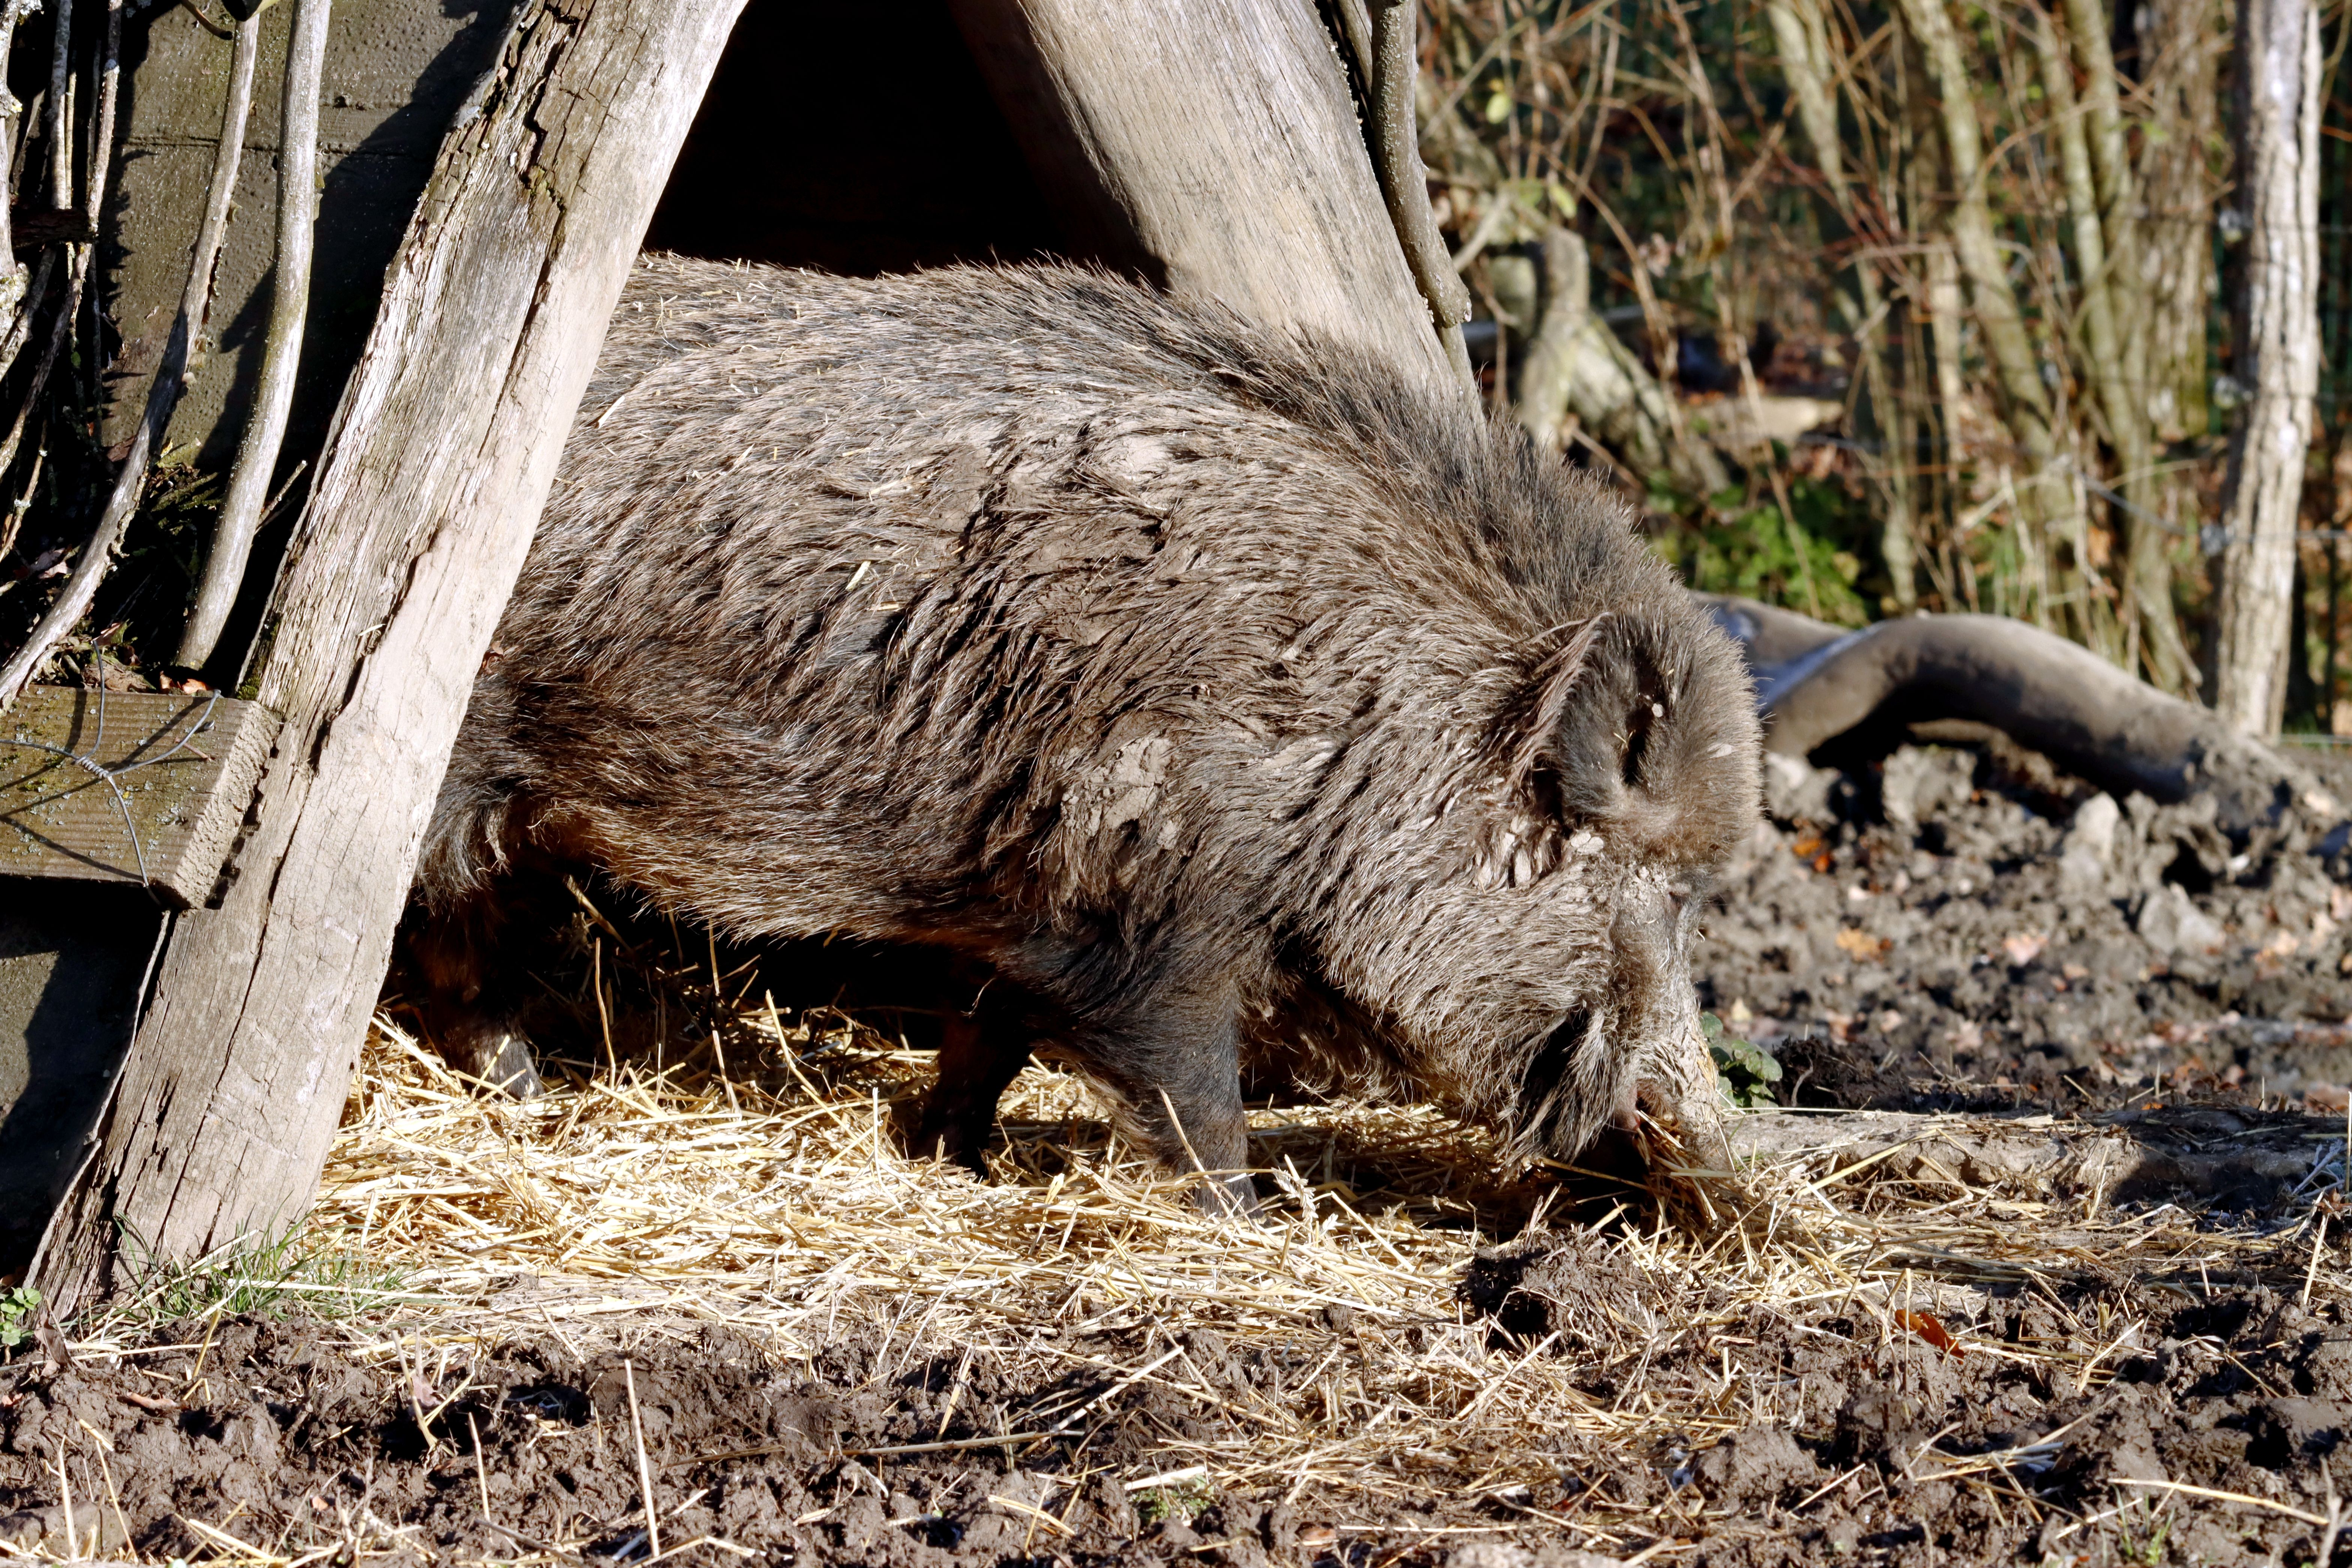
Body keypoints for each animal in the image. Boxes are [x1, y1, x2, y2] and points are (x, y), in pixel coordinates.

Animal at [408, 254, 1761, 1209]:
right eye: (1664, 892)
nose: (1703, 1175)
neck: (1359, 727)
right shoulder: (1146, 908)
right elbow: (1192, 1096)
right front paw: (1242, 1224)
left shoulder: (1025, 900)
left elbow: (991, 1035)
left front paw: (942, 1154)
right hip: (461, 758)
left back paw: (523, 1090)